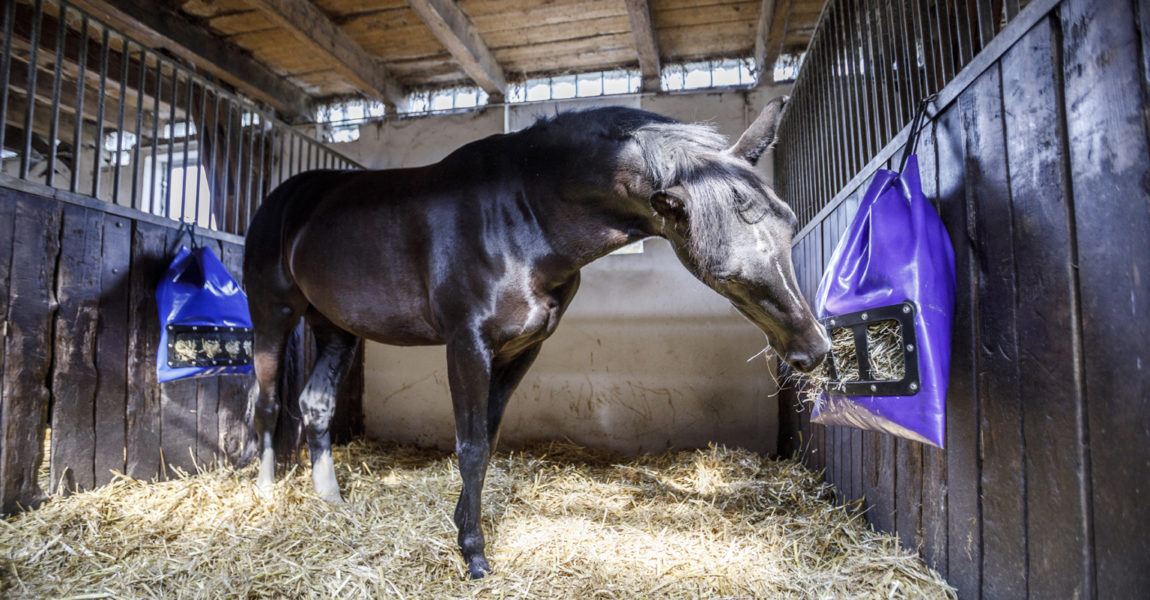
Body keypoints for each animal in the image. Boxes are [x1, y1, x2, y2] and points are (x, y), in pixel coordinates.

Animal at [244, 97, 828, 574]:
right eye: (724, 271)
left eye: (788, 221)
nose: (813, 350)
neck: (520, 214)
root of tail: (286, 198)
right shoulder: (467, 345)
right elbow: (470, 445)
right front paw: (474, 555)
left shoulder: (522, 350)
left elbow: (488, 438)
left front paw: (463, 525)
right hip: (272, 314)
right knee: (269, 403)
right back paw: (266, 496)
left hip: (336, 329)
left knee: (315, 405)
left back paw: (331, 501)